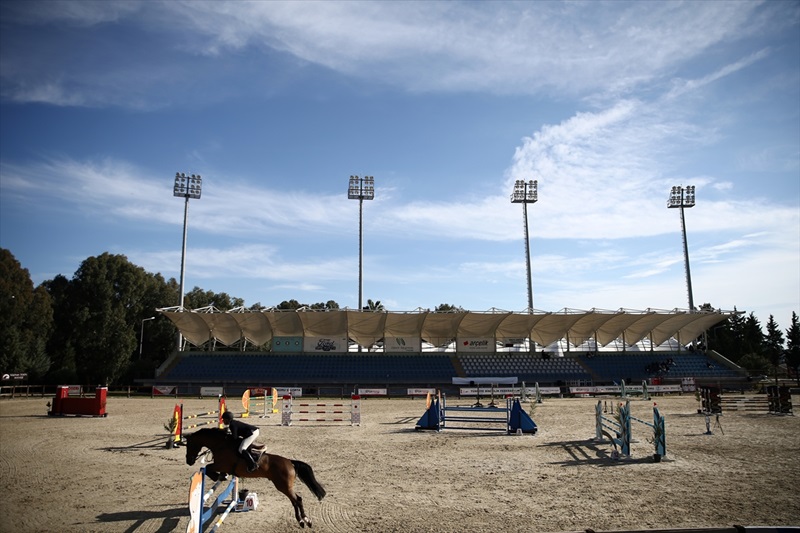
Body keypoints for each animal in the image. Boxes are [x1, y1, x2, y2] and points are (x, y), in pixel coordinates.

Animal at [186, 426, 326, 524]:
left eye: (189, 445)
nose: (189, 461)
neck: (221, 445)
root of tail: (290, 462)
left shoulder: (221, 465)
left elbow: (208, 467)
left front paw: (217, 476)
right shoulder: (223, 467)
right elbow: (211, 469)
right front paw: (221, 476)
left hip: (283, 486)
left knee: (297, 500)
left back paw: (304, 520)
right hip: (286, 486)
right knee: (296, 500)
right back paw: (303, 521)